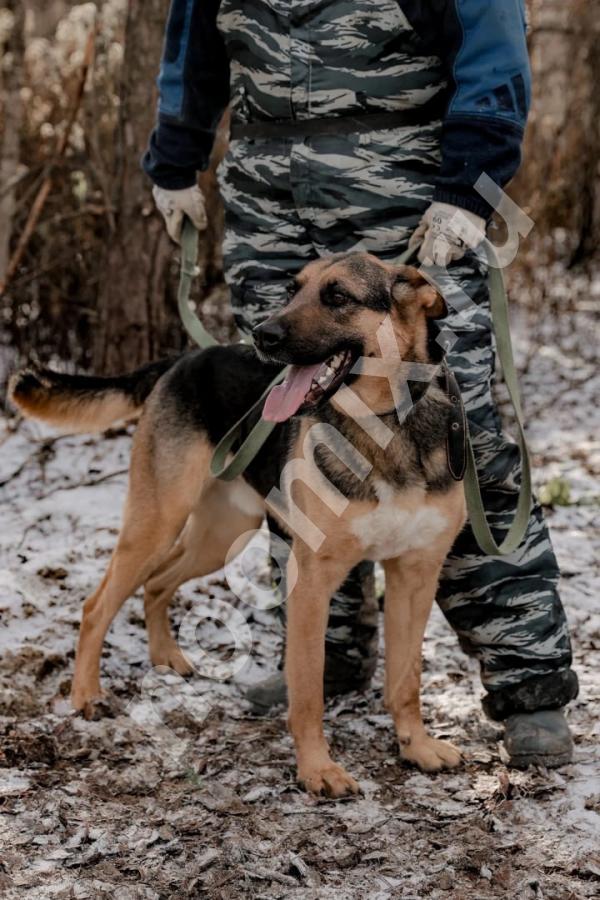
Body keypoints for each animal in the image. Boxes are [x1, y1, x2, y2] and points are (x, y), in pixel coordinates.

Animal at [10, 251, 468, 796]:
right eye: (292, 289)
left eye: (337, 296)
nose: (263, 335)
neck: (388, 423)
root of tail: (182, 359)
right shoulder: (312, 580)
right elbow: (308, 691)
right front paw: (317, 769)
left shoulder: (415, 577)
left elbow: (406, 680)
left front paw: (416, 747)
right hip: (157, 522)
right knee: (97, 605)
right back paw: (86, 695)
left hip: (219, 535)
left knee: (157, 584)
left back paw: (167, 658)